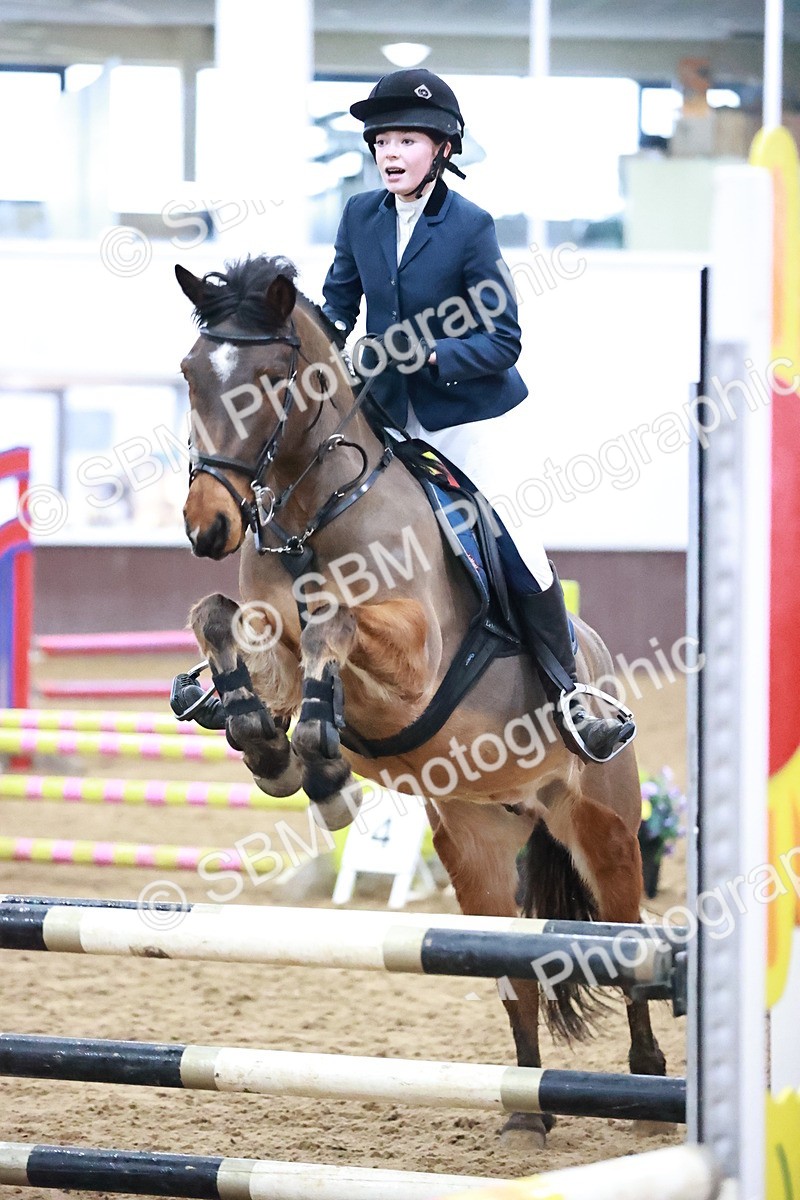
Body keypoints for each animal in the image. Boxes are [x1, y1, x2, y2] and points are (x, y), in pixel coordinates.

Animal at [174, 254, 666, 1147]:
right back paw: (528, 1109)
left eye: (267, 382)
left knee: (629, 945)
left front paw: (319, 756)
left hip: (607, 825)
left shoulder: (414, 661)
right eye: (192, 373)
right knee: (516, 975)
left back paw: (648, 1083)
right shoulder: (272, 645)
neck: (311, 515)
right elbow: (220, 619)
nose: (208, 527)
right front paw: (270, 745)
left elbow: (334, 624)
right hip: (475, 844)